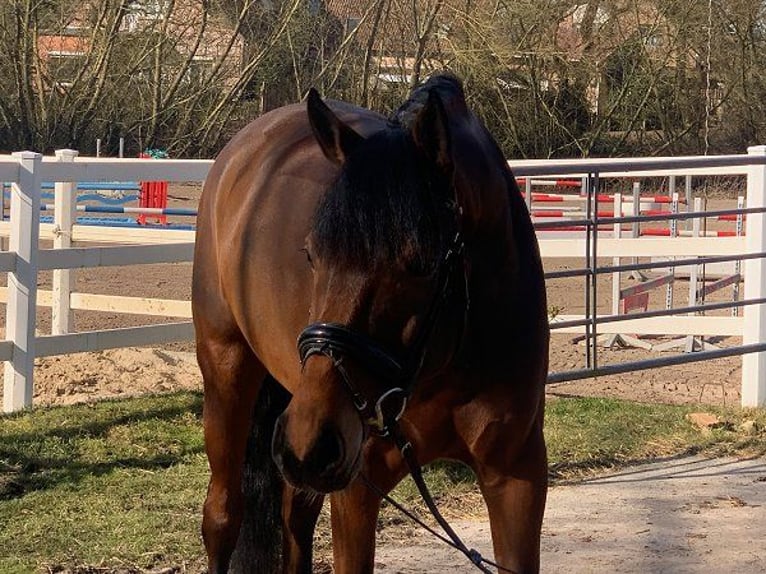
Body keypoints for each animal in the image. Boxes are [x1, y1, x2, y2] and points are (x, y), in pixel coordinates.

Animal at [194, 74, 552, 572]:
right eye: (311, 253)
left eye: (420, 263)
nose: (313, 440)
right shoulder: (359, 490)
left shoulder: (517, 477)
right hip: (233, 375)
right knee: (223, 516)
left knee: (295, 513)